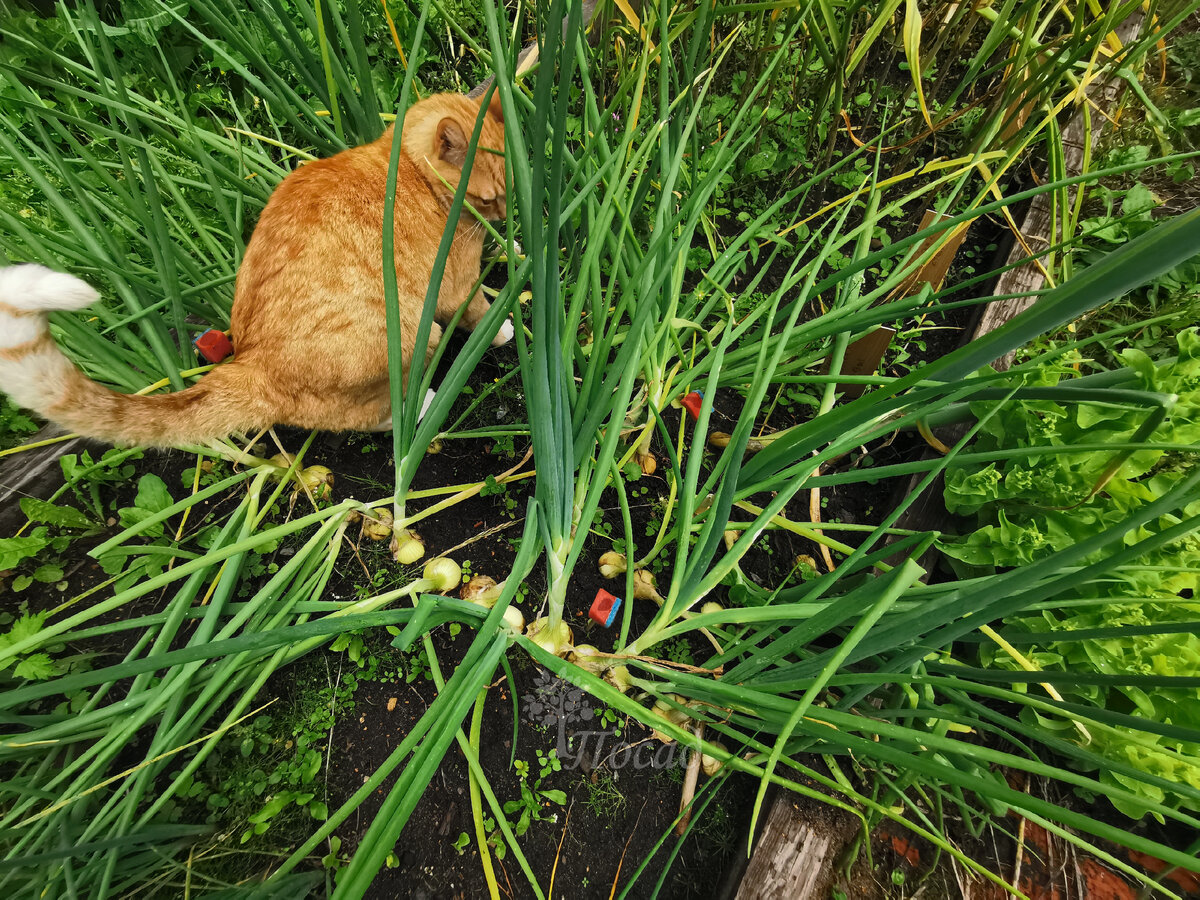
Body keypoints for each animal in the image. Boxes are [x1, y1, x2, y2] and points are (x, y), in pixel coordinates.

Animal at [0, 92, 511, 451]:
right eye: (489, 197)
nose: (506, 217)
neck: (402, 164)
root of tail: (250, 364)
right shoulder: (455, 285)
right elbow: (478, 308)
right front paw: (502, 327)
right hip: (412, 335)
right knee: (367, 415)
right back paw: (420, 405)